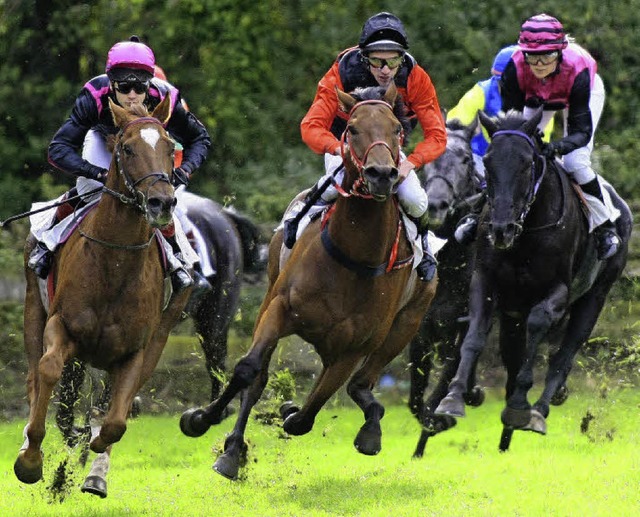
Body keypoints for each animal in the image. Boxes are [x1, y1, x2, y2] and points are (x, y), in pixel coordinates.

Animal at [14, 95, 190, 484]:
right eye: (127, 148)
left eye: (169, 147)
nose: (161, 203)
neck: (116, 262)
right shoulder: (61, 325)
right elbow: (49, 371)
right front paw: (31, 460)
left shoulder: (135, 350)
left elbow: (115, 421)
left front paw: (93, 452)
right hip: (35, 309)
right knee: (37, 377)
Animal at [180, 82, 440, 478]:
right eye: (352, 129)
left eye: (397, 128)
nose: (382, 174)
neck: (354, 258)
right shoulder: (279, 309)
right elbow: (248, 370)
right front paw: (205, 424)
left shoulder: (353, 348)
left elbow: (309, 411)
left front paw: (289, 412)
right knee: (259, 377)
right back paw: (234, 445)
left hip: (406, 323)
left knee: (361, 384)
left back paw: (369, 425)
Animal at [432, 109, 632, 452]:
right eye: (487, 162)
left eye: (527, 163)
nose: (500, 229)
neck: (524, 233)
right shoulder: (484, 281)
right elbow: (474, 336)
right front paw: (454, 397)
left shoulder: (558, 291)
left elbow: (538, 328)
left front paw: (519, 406)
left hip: (594, 299)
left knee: (563, 355)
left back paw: (537, 409)